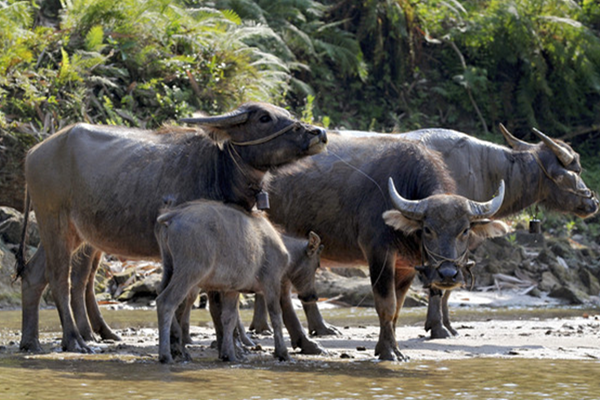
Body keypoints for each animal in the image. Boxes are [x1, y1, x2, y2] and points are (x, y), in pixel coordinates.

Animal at [16, 102, 328, 354]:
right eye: (264, 117)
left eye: (285, 113)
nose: (318, 133)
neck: (218, 167)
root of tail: (33, 152)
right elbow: (201, 300)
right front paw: (200, 343)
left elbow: (217, 298)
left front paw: (228, 343)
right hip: (55, 222)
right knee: (61, 279)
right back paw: (75, 340)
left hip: (71, 232)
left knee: (34, 275)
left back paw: (30, 342)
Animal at [264, 134, 508, 360]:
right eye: (428, 229)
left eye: (465, 230)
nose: (448, 274)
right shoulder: (378, 253)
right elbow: (386, 304)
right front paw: (388, 351)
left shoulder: (406, 265)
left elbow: (397, 308)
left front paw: (392, 347)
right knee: (282, 293)